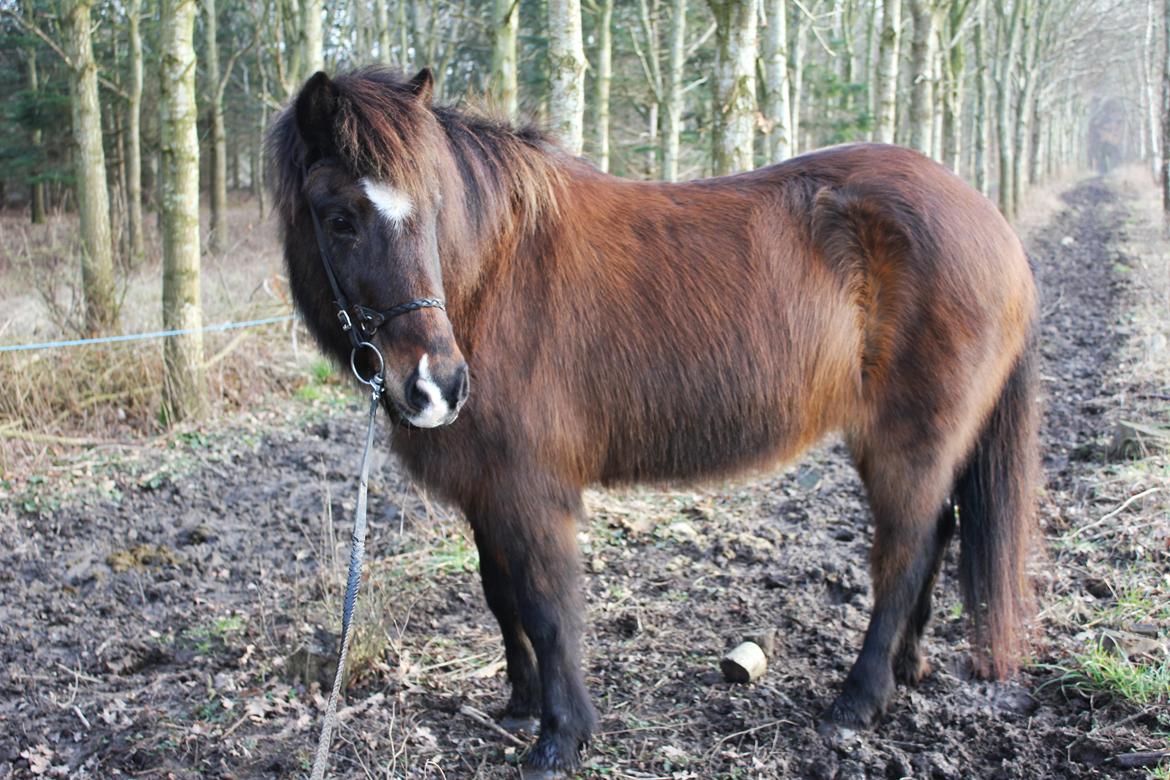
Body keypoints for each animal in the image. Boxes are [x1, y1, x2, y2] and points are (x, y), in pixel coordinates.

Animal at [267, 68, 1043, 780]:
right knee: (935, 538)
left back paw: (857, 700)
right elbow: (501, 594)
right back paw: (907, 668)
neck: (493, 277)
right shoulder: (487, 492)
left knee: (905, 554)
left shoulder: (529, 490)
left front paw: (561, 738)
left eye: (430, 210)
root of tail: (993, 224)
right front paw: (520, 705)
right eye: (339, 218)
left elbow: (547, 606)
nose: (436, 385)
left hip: (908, 444)